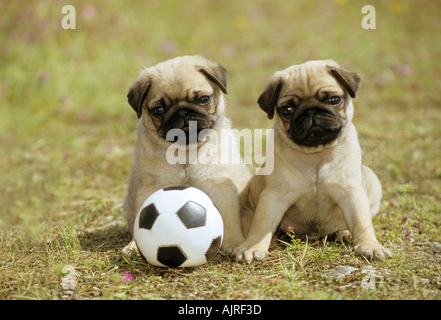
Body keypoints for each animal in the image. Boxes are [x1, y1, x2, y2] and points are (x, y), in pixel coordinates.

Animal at [122, 54, 249, 255]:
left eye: (204, 99)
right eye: (158, 110)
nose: (182, 113)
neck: (185, 151)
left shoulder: (220, 186)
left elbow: (229, 218)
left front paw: (234, 243)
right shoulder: (152, 187)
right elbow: (140, 218)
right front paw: (135, 246)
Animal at [234, 59, 392, 262]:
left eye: (334, 100)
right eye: (287, 110)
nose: (311, 112)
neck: (316, 155)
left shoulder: (352, 193)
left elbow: (361, 222)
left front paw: (370, 246)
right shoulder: (274, 196)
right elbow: (261, 225)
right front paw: (253, 247)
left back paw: (345, 232)